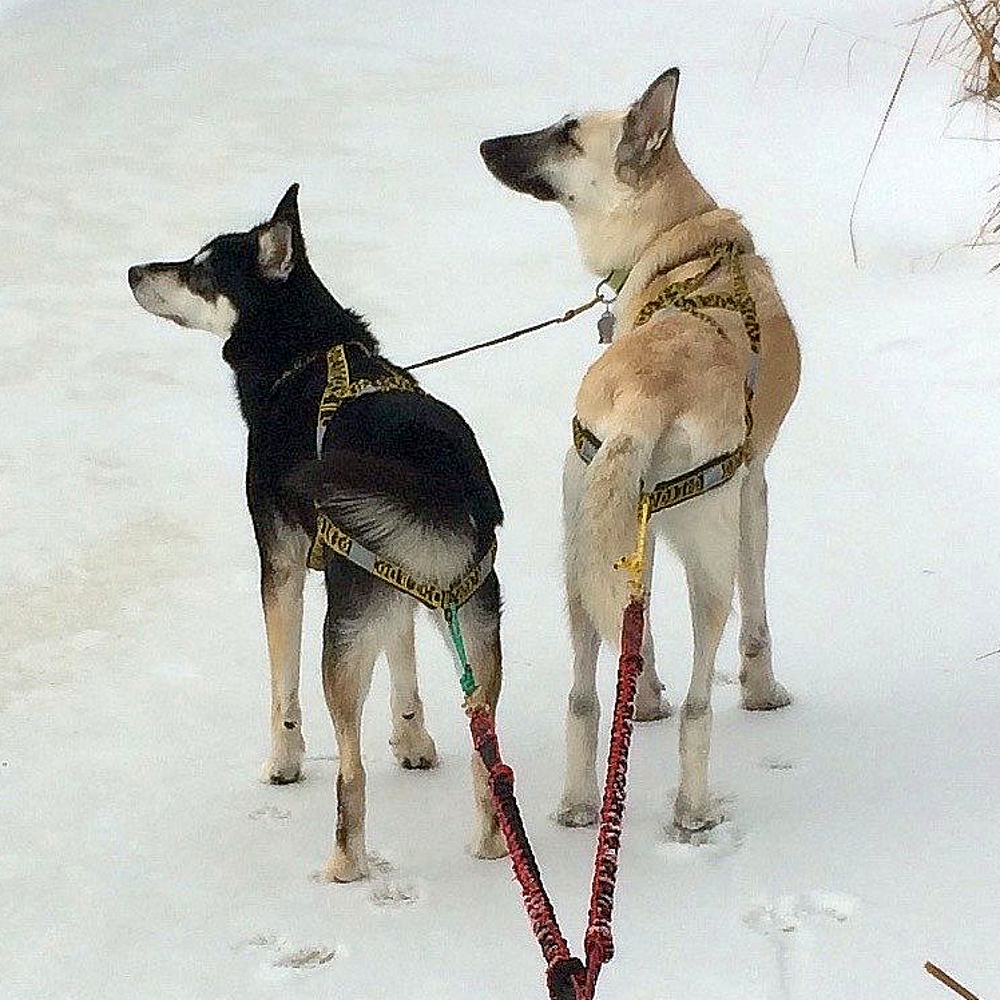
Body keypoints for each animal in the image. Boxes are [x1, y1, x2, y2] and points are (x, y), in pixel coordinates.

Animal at [128, 188, 508, 884]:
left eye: (199, 270)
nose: (134, 272)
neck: (305, 358)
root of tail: (432, 476)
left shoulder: (279, 567)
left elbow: (282, 683)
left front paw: (282, 761)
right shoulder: (397, 599)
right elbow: (405, 669)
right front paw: (413, 742)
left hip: (344, 637)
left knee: (351, 773)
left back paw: (343, 863)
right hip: (473, 629)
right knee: (486, 759)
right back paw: (492, 844)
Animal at [480, 68, 800, 836]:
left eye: (567, 132)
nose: (485, 144)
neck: (680, 247)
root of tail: (644, 399)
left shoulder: (632, 532)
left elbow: (638, 634)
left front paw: (645, 697)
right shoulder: (755, 492)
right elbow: (758, 615)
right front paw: (764, 691)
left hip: (578, 544)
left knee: (583, 695)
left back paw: (579, 802)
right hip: (708, 558)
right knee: (700, 700)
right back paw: (693, 811)